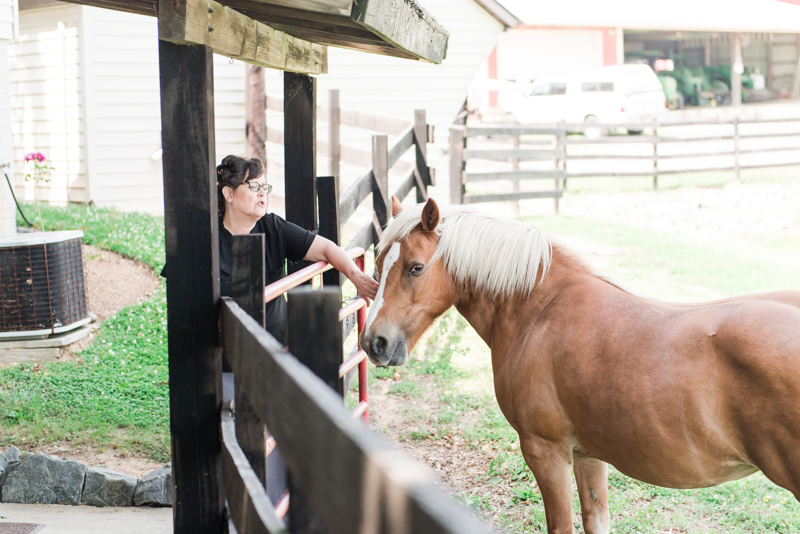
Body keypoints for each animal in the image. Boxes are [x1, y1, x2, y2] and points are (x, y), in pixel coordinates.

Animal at [360, 198, 800, 534]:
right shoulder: (589, 455)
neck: (539, 309)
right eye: (378, 263)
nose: (373, 342)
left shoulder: (546, 452)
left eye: (415, 267)